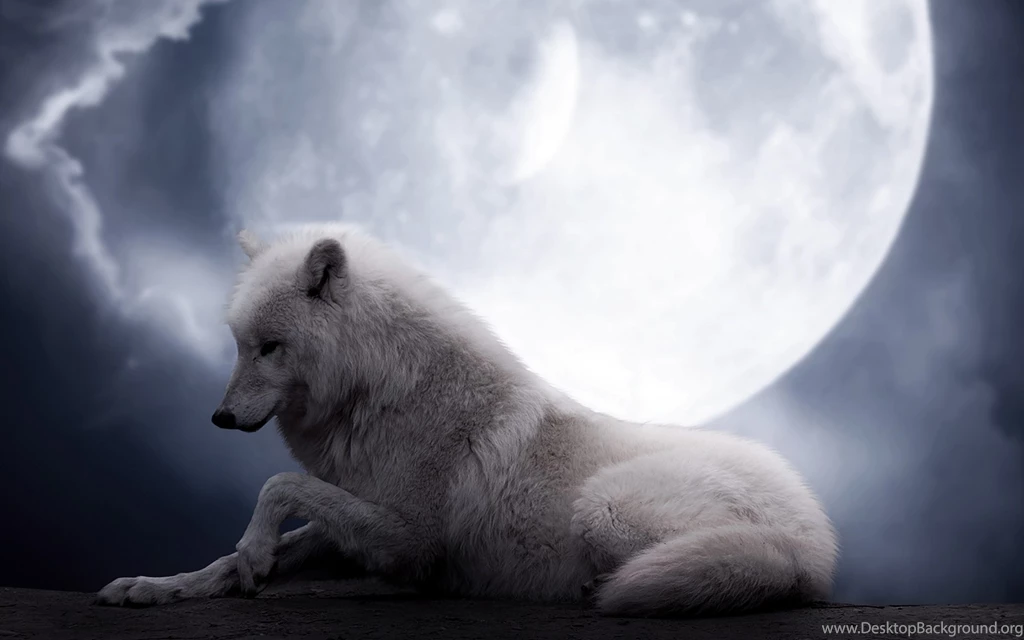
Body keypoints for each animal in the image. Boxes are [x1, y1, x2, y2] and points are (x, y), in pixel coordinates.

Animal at [96, 223, 838, 616]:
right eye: (238, 344)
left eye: (270, 347)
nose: (219, 418)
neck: (380, 390)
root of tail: (814, 540)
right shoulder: (360, 514)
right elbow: (248, 547)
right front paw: (162, 585)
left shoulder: (410, 538)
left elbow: (278, 486)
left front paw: (254, 555)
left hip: (603, 508)